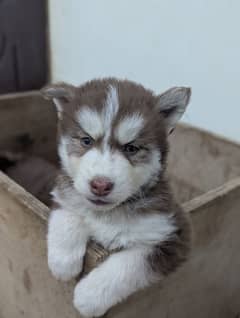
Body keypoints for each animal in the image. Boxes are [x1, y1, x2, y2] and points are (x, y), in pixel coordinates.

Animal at [40, 77, 191, 318]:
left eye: (131, 148)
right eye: (86, 140)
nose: (100, 185)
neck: (107, 214)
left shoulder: (174, 233)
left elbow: (131, 262)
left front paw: (89, 295)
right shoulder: (63, 192)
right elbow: (69, 211)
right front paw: (63, 260)